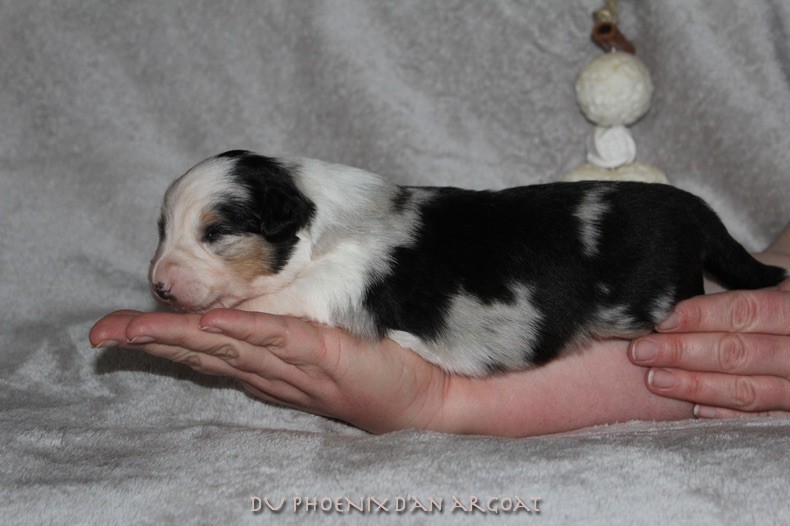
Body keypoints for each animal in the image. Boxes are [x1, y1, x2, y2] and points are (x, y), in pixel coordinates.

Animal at [149, 150, 787, 376]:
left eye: (216, 233)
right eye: (161, 230)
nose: (158, 287)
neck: (315, 218)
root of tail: (695, 208)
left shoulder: (327, 287)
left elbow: (276, 297)